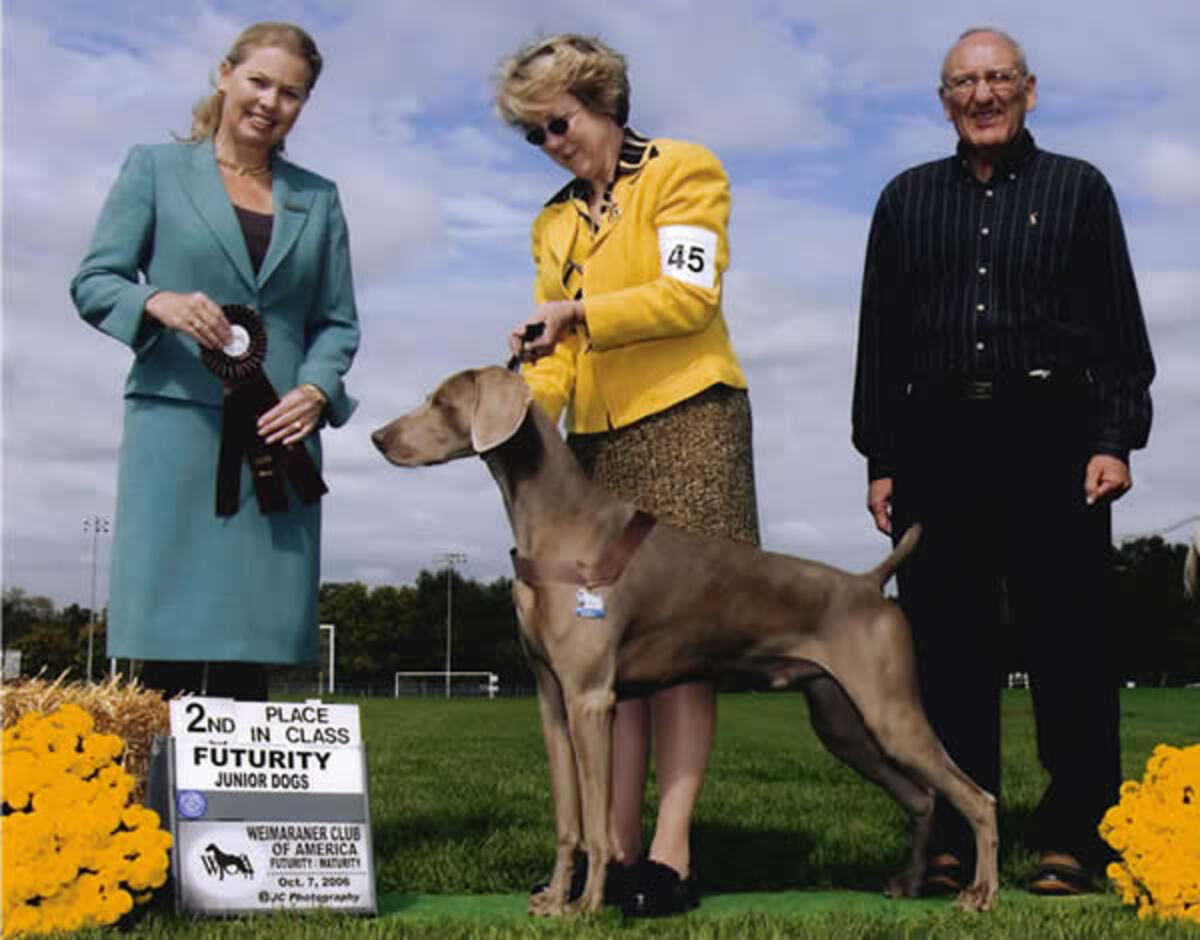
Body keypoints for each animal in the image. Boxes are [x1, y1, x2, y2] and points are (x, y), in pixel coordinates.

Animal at [369, 372, 998, 917]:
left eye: (441, 402)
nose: (377, 438)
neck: (559, 521)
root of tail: (869, 582)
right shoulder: (552, 700)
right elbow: (569, 820)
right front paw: (553, 898)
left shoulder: (590, 698)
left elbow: (597, 822)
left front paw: (587, 906)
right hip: (842, 721)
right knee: (923, 798)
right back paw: (910, 884)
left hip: (890, 711)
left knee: (977, 798)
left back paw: (980, 894)